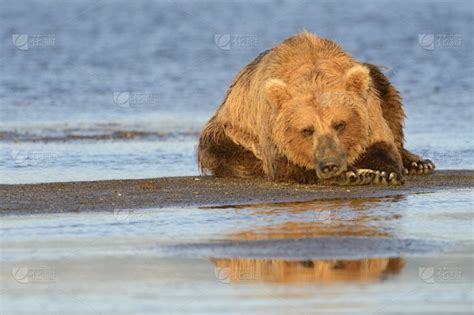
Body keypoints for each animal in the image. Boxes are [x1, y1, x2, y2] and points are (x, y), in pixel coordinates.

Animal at [198, 31, 436, 185]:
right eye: (307, 130)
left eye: (340, 124)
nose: (329, 164)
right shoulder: (270, 125)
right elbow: (286, 162)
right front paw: (353, 174)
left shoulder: (369, 109)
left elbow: (382, 142)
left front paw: (383, 172)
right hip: (227, 134)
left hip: (376, 80)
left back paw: (418, 163)